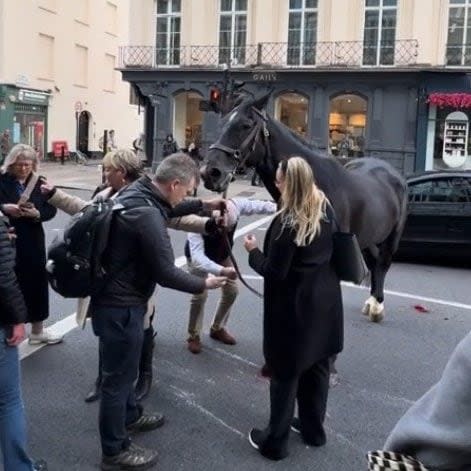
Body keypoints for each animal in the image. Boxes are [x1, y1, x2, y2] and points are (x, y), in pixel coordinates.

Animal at [201, 92, 408, 322]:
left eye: (245, 125)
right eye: (222, 123)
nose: (210, 173)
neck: (313, 185)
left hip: (392, 238)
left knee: (383, 264)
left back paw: (377, 305)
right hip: (369, 237)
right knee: (374, 263)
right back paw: (372, 302)